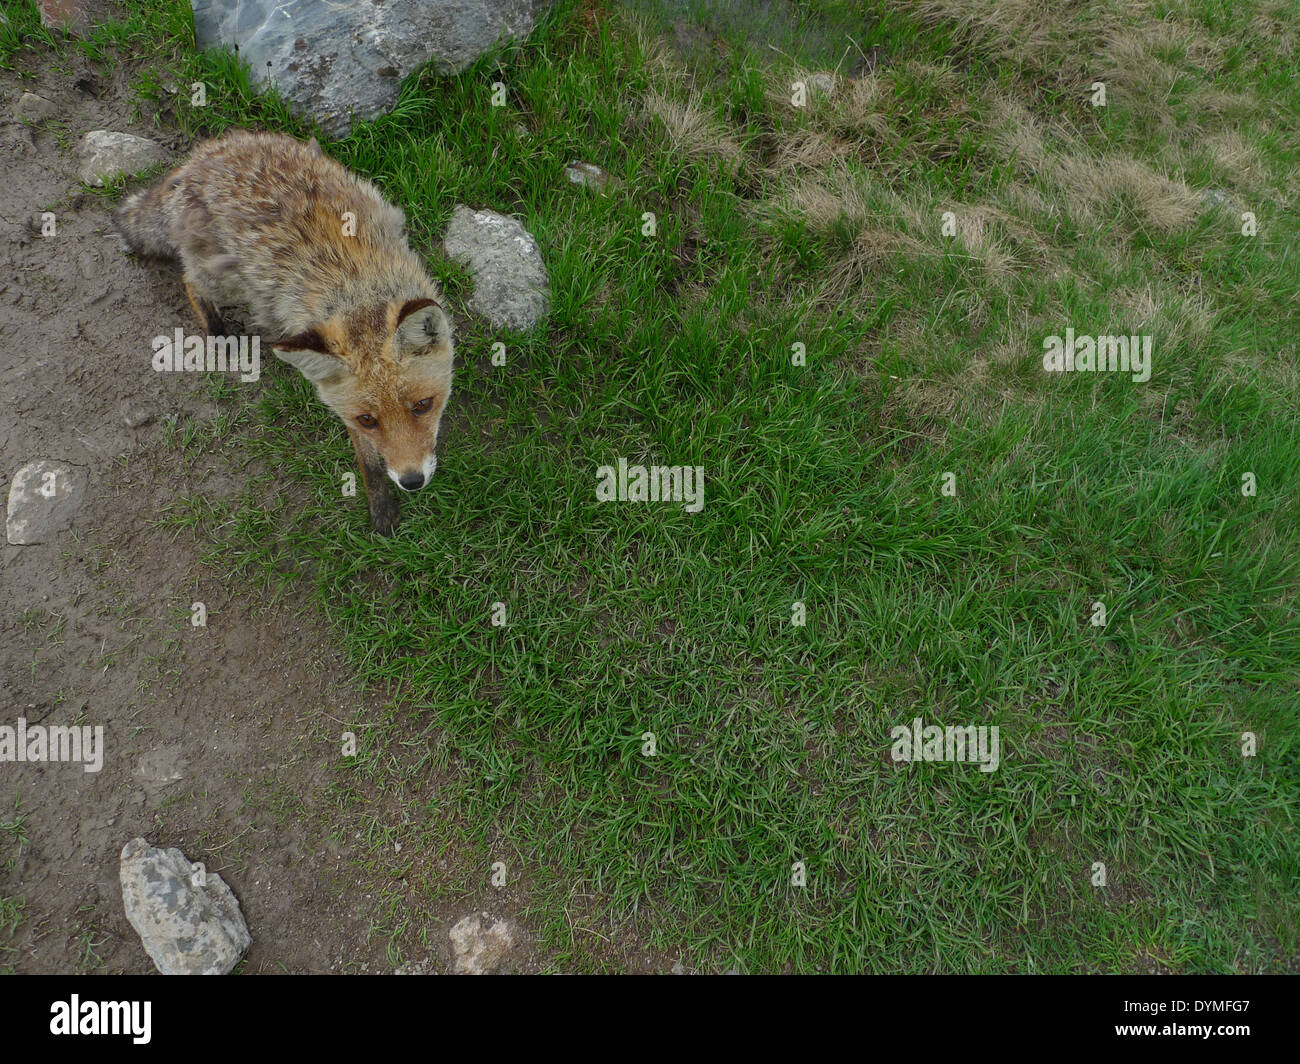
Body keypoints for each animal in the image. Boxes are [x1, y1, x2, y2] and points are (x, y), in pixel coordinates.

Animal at [113, 128, 457, 535]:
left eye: (423, 405)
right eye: (368, 420)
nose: (412, 481)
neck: (355, 287)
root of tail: (198, 158)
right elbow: (369, 461)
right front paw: (382, 504)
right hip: (227, 279)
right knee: (190, 280)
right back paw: (219, 333)